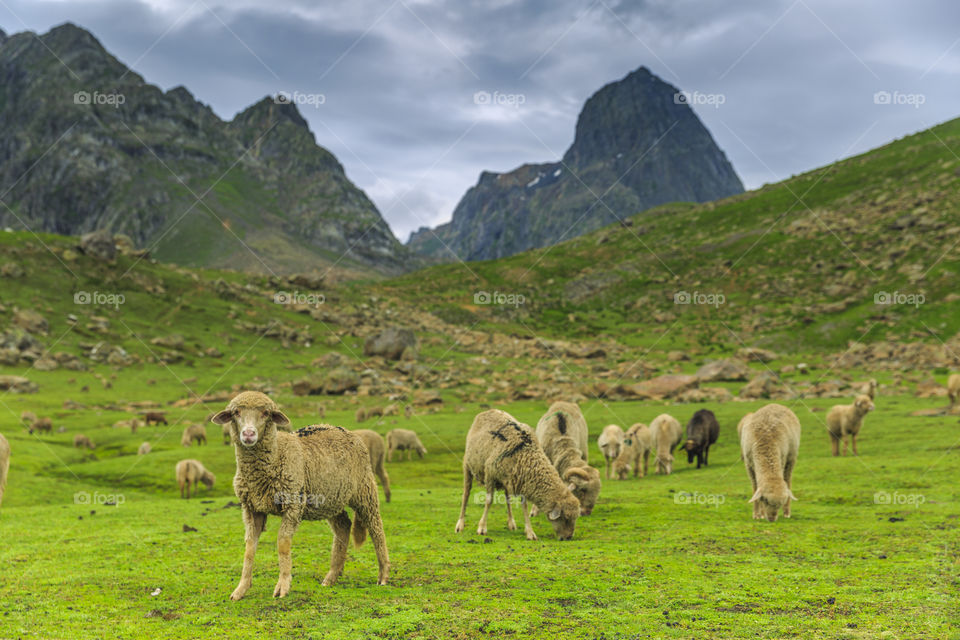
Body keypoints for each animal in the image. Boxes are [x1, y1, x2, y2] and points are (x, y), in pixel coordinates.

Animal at [211, 390, 390, 600]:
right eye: (236, 412)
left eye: (266, 413)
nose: (248, 434)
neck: (276, 455)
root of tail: (345, 431)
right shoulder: (251, 508)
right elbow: (249, 549)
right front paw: (241, 589)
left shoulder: (293, 504)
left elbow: (282, 543)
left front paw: (282, 586)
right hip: (331, 498)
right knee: (343, 526)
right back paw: (331, 576)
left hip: (364, 489)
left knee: (376, 528)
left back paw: (383, 574)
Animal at [456, 410, 580, 540]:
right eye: (565, 518)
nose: (568, 537)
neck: (528, 454)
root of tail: (488, 411)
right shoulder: (490, 474)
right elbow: (489, 501)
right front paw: (482, 528)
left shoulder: (522, 480)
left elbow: (524, 506)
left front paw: (530, 532)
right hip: (467, 465)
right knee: (466, 494)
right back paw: (460, 524)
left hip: (507, 479)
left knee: (507, 498)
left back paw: (511, 523)